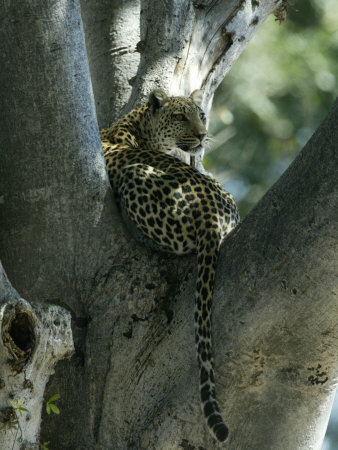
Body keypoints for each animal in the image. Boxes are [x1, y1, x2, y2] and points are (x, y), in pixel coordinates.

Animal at [101, 89, 239, 442]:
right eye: (180, 117)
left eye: (201, 115)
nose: (203, 135)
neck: (135, 126)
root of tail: (211, 213)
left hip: (135, 175)